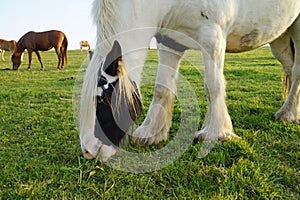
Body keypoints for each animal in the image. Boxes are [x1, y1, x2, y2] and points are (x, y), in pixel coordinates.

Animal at [79, 0, 300, 160]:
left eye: (103, 99)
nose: (88, 150)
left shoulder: (213, 39)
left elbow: (213, 87)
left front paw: (215, 132)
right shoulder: (169, 42)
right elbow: (162, 88)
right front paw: (151, 133)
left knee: (296, 72)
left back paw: (288, 114)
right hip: (279, 37)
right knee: (289, 68)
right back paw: (290, 111)